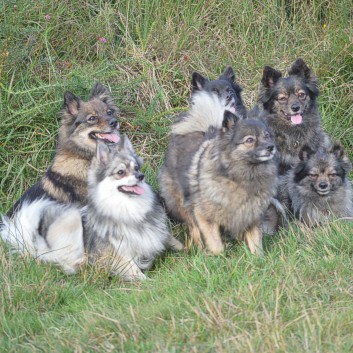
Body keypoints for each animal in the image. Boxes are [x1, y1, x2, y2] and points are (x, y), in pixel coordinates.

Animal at [82, 136, 182, 280]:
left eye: (136, 168)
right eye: (120, 172)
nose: (140, 176)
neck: (129, 206)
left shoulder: (156, 232)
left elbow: (172, 240)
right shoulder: (119, 252)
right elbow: (134, 270)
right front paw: (148, 281)